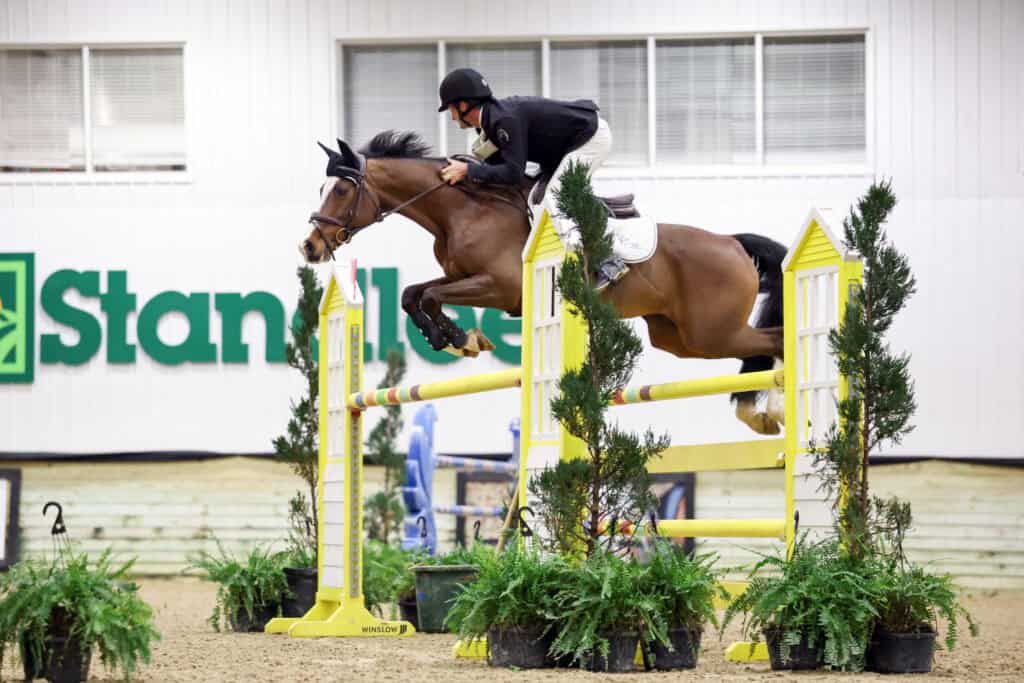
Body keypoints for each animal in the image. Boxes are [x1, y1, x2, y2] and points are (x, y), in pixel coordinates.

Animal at [300, 132, 787, 435]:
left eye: (340, 191)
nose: (310, 246)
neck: (464, 210)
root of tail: (732, 243)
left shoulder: (501, 287)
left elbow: (433, 295)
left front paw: (461, 338)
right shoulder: (462, 275)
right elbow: (412, 294)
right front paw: (451, 338)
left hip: (712, 331)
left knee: (775, 340)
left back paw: (772, 410)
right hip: (680, 337)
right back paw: (760, 414)